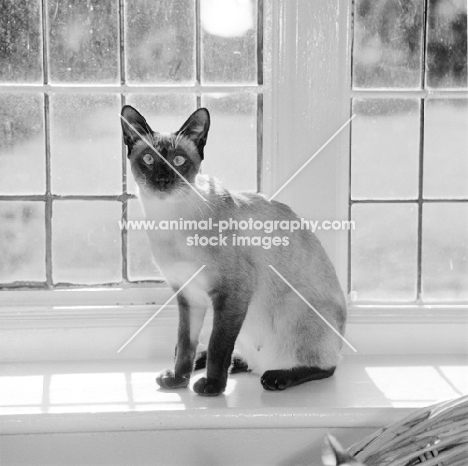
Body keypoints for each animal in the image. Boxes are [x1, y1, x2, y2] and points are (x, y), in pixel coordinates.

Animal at [120, 106, 348, 396]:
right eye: (148, 159)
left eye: (179, 161)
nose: (163, 179)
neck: (168, 220)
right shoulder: (188, 295)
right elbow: (185, 344)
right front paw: (178, 379)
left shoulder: (232, 291)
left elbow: (218, 345)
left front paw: (213, 387)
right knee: (239, 358)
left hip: (293, 308)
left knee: (326, 367)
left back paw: (275, 378)